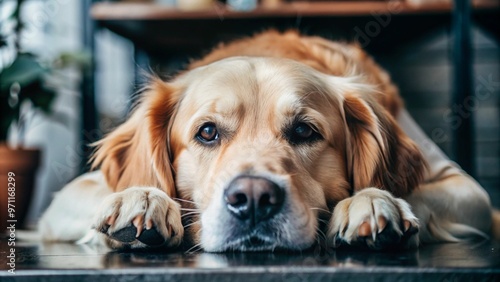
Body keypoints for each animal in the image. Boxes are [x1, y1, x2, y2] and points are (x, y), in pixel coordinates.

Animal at [38, 30, 496, 251]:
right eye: (207, 132)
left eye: (304, 131)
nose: (254, 199)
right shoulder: (65, 198)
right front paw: (143, 198)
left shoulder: (468, 188)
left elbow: (414, 194)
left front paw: (371, 201)